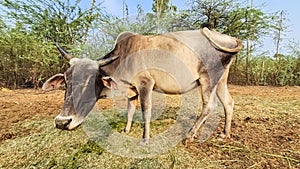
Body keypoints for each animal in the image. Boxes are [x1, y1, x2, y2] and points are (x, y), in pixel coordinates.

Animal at [42, 27, 243, 144]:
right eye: (66, 81)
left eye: (90, 81)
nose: (62, 122)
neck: (122, 58)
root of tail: (228, 38)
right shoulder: (132, 91)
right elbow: (131, 110)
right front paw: (127, 129)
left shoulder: (145, 84)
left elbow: (146, 111)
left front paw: (145, 139)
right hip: (221, 80)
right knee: (229, 103)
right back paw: (225, 133)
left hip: (208, 80)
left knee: (209, 105)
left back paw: (189, 135)